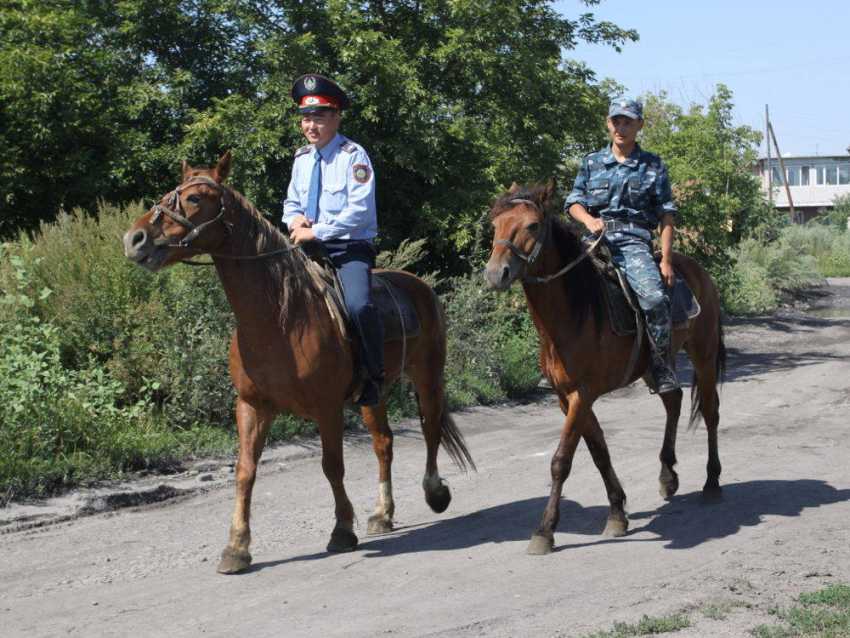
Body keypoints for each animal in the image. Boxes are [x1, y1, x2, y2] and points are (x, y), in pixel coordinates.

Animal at [122, 154, 474, 576]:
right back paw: (382, 514)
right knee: (384, 444)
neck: (280, 318)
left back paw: (435, 492)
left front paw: (342, 530)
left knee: (431, 429)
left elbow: (332, 466)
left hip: (428, 377)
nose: (135, 240)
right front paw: (236, 547)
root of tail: (419, 286)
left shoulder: (327, 408)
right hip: (373, 396)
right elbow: (245, 471)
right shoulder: (252, 406)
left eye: (194, 198)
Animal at [484, 180, 724, 556]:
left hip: (704, 353)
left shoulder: (583, 395)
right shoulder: (567, 397)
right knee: (673, 400)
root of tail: (698, 272)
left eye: (533, 225)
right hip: (656, 364)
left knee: (711, 412)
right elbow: (599, 452)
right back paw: (667, 476)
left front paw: (544, 531)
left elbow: (561, 461)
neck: (574, 312)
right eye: (495, 224)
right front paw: (616, 513)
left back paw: (712, 481)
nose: (496, 274)